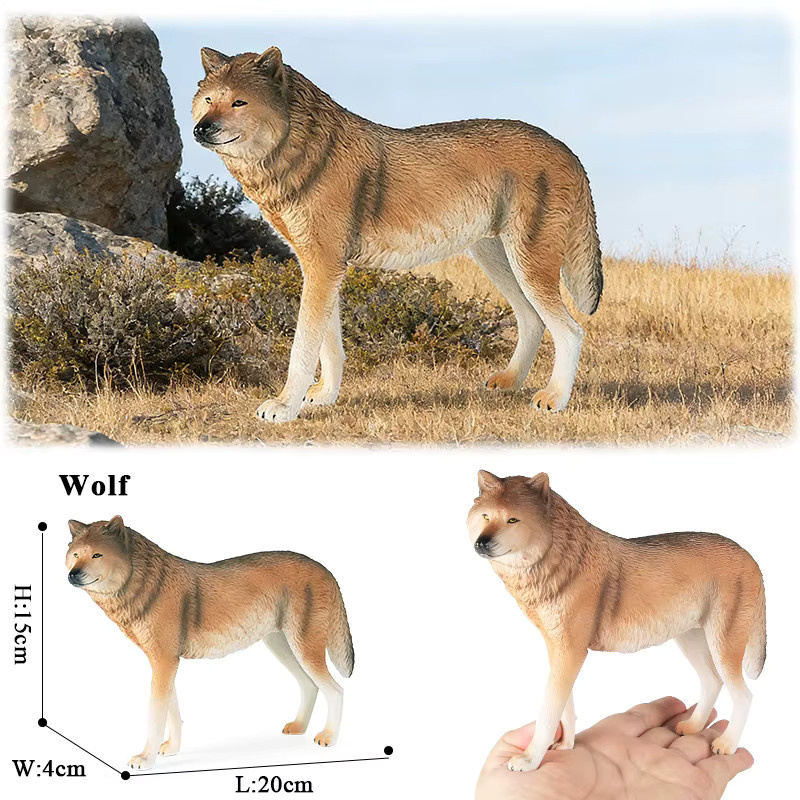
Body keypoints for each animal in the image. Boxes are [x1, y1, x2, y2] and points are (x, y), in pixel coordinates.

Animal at [66, 517, 354, 771]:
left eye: (97, 555)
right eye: (76, 554)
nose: (73, 574)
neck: (145, 583)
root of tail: (324, 568)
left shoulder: (165, 663)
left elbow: (155, 717)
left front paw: (146, 760)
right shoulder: (164, 663)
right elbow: (172, 713)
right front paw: (172, 749)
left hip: (304, 649)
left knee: (336, 690)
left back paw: (329, 737)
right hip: (283, 647)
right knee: (310, 685)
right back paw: (299, 728)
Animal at [192, 46, 603, 423]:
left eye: (239, 102)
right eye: (209, 100)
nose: (201, 128)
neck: (304, 153)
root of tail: (566, 148)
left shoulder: (324, 266)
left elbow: (303, 348)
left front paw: (284, 407)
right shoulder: (322, 268)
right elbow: (330, 346)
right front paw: (326, 396)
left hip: (527, 266)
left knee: (571, 330)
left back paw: (554, 399)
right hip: (498, 261)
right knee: (532, 320)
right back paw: (510, 382)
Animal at [467, 471, 766, 772]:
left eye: (512, 520)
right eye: (485, 516)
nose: (481, 543)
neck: (560, 560)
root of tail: (749, 556)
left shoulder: (572, 652)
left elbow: (548, 711)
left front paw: (530, 759)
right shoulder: (558, 649)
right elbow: (565, 708)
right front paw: (565, 746)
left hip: (723, 646)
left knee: (744, 695)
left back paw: (727, 744)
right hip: (691, 639)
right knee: (712, 682)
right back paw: (693, 726)